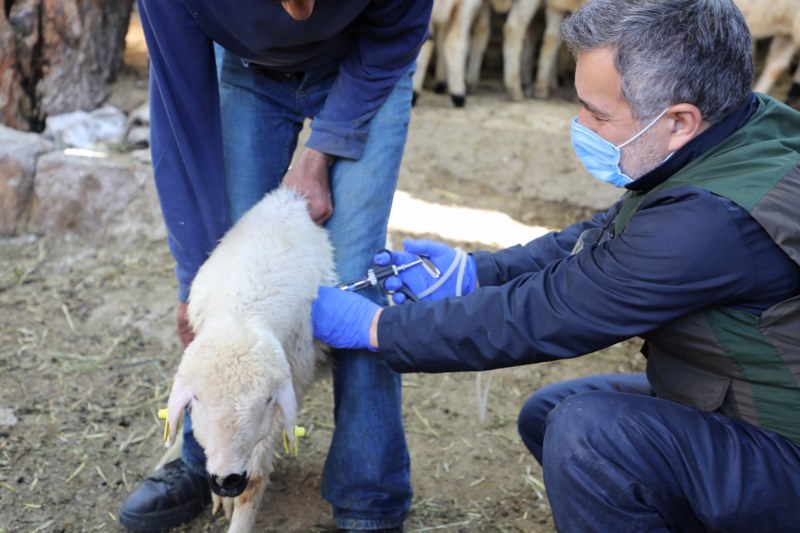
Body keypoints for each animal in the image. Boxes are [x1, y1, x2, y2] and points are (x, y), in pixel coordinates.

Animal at [162, 187, 338, 532]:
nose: (226, 480)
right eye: (196, 399)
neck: (244, 311)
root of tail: (289, 197)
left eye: (268, 400)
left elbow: (253, 483)